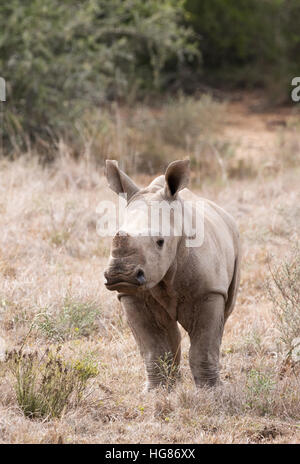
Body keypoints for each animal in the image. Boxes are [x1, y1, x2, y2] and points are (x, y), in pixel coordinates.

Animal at [104, 159, 240, 388]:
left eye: (160, 242)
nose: (121, 275)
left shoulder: (209, 291)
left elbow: (203, 346)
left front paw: (210, 391)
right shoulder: (133, 295)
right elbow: (155, 348)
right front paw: (158, 391)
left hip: (235, 239)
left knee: (225, 314)